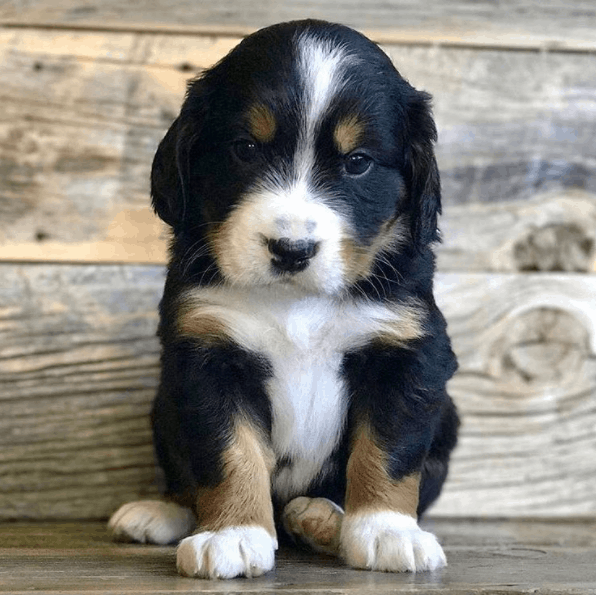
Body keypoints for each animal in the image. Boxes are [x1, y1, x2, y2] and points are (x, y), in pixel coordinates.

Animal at [109, 21, 458, 580]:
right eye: (246, 148)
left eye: (357, 163)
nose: (292, 249)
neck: (298, 303)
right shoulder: (207, 354)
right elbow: (228, 452)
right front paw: (232, 532)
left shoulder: (407, 350)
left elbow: (388, 449)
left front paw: (387, 530)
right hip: (163, 404)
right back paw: (160, 512)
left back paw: (320, 518)